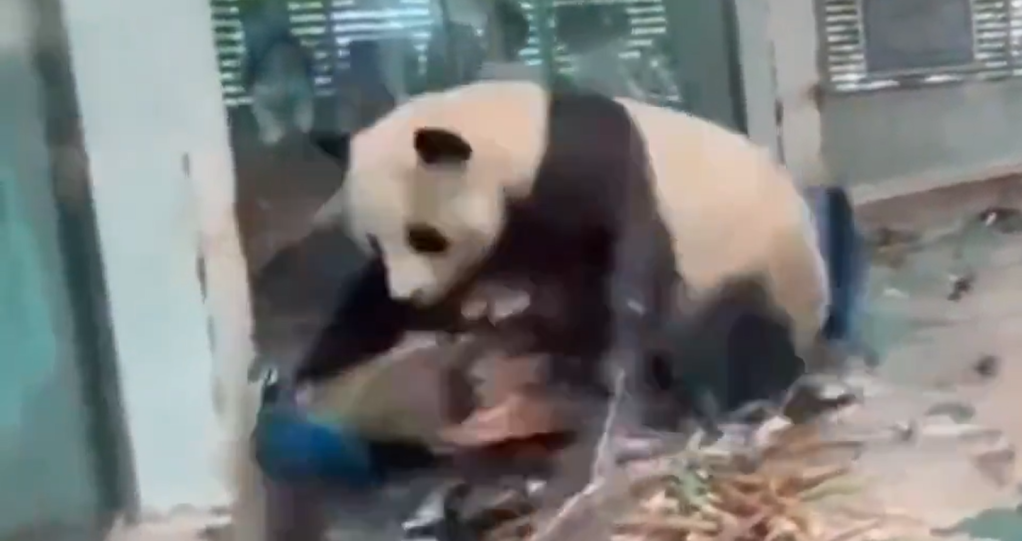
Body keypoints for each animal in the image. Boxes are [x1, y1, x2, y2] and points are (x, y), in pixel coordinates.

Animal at [292, 80, 832, 420]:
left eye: (424, 236)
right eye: (374, 242)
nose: (410, 295)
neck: (523, 133)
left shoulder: (592, 167)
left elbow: (627, 273)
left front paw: (614, 368)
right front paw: (316, 366)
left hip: (760, 266)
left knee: (740, 330)